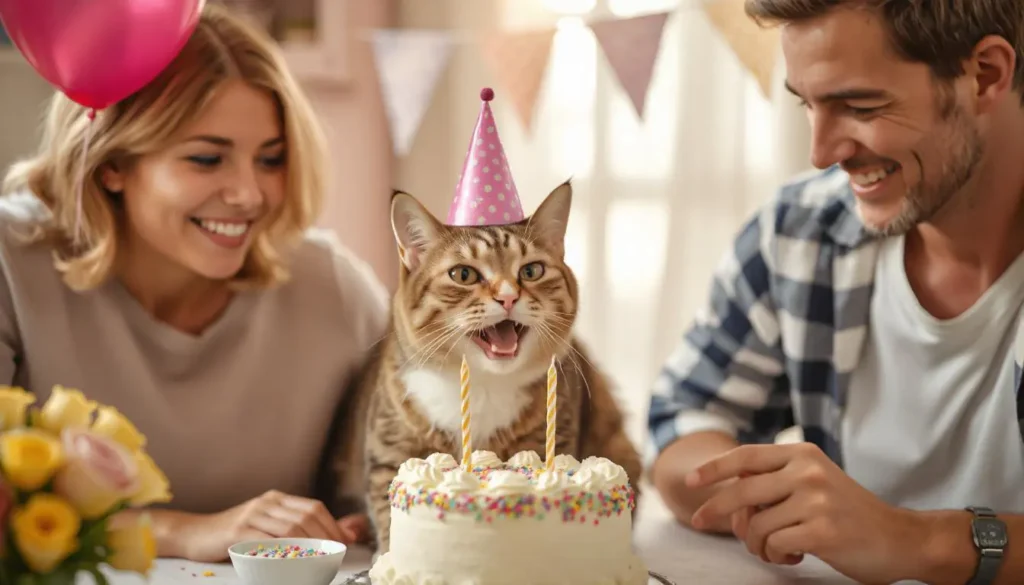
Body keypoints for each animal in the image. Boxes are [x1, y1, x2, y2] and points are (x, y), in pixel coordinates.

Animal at [333, 181, 638, 557]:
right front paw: (385, 551)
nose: (508, 297)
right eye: (463, 274)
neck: (484, 383)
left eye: (531, 271)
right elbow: (384, 506)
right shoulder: (389, 448)